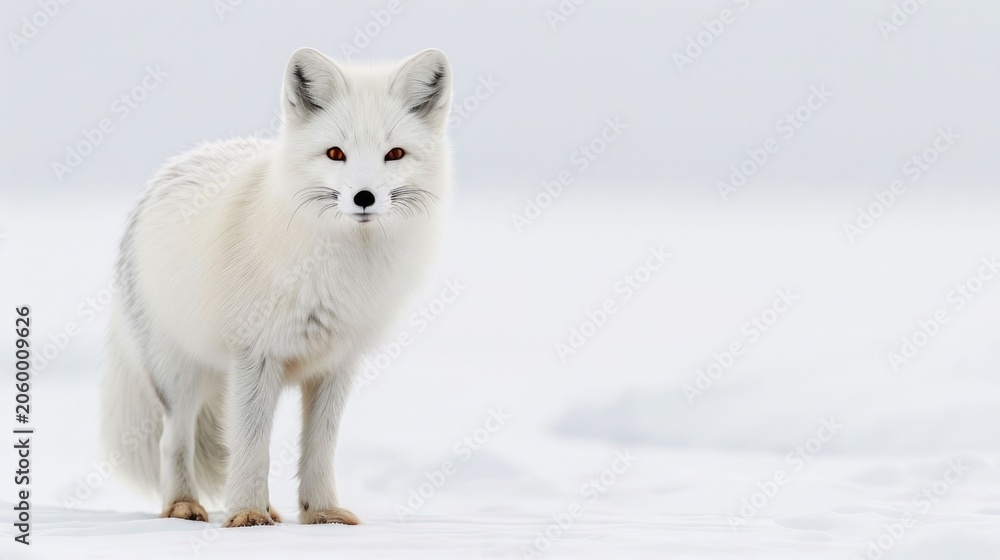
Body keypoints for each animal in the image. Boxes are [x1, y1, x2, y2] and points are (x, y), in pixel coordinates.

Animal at [99, 47, 453, 527]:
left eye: (394, 153)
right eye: (336, 153)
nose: (363, 197)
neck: (339, 269)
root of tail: (171, 169)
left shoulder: (335, 364)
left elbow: (320, 447)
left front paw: (321, 512)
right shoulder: (255, 354)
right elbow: (251, 447)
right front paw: (247, 514)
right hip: (179, 374)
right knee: (173, 440)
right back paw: (183, 506)